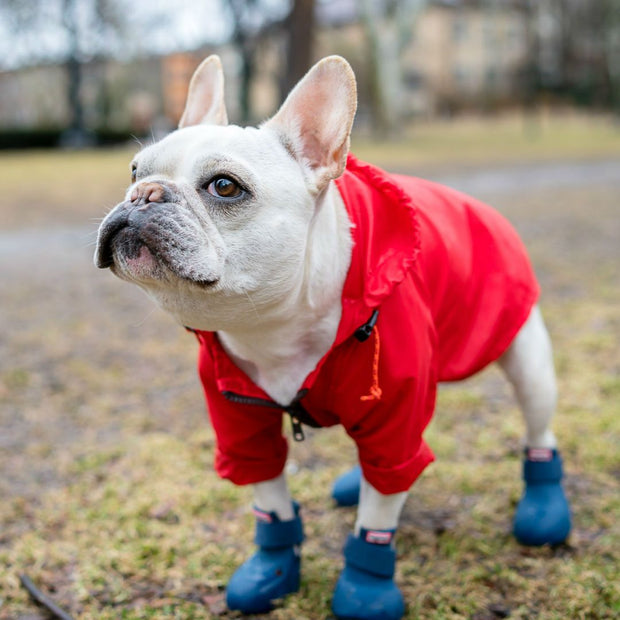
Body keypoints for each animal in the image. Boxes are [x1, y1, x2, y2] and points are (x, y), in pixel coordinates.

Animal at [97, 55, 572, 616]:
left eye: (224, 187)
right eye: (134, 170)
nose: (144, 194)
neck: (271, 326)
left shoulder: (393, 430)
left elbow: (379, 514)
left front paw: (366, 588)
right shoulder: (240, 424)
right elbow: (270, 500)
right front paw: (271, 570)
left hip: (527, 361)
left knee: (539, 431)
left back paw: (544, 509)